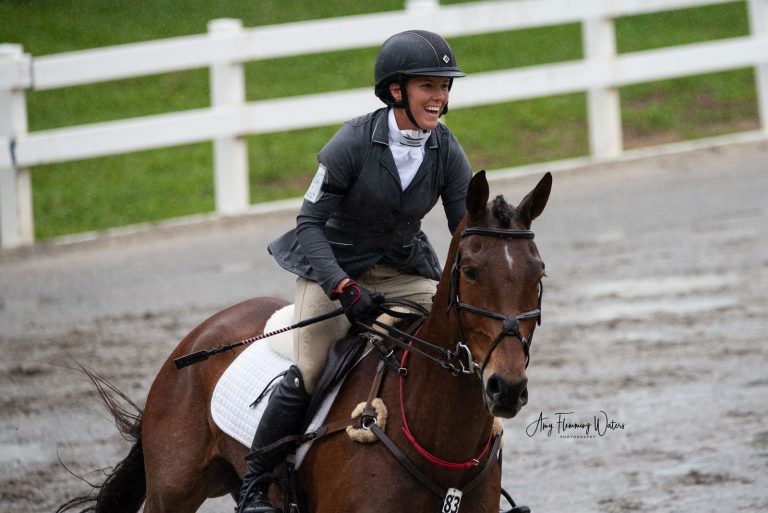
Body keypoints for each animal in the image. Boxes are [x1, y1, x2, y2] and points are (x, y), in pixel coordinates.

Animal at [58, 170, 552, 510]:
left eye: (539, 274)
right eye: (470, 271)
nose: (506, 388)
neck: (437, 440)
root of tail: (192, 341)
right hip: (172, 492)